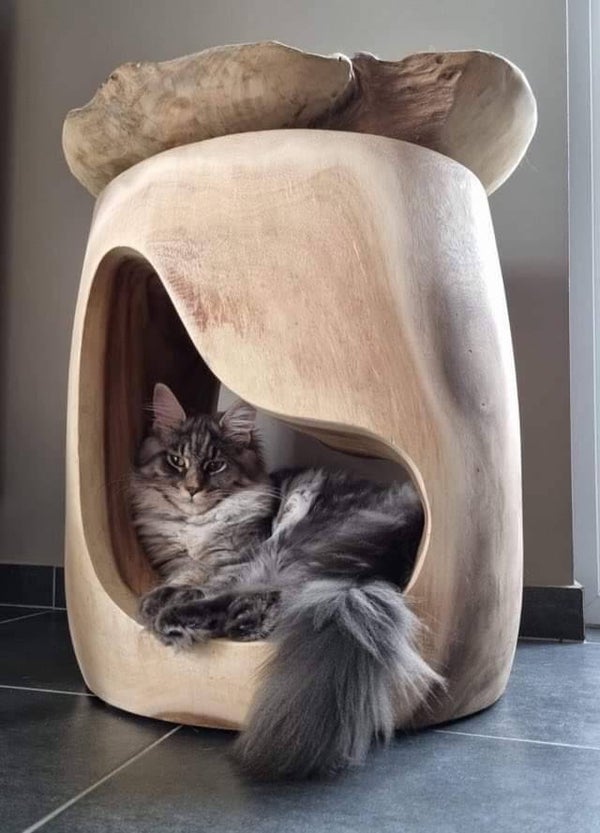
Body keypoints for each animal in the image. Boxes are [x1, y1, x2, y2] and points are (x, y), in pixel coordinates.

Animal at [129, 383, 443, 779]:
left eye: (215, 465)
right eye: (176, 462)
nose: (192, 490)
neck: (197, 526)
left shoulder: (240, 558)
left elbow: (206, 584)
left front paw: (160, 604)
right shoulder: (177, 561)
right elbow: (183, 577)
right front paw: (158, 596)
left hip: (289, 548)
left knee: (266, 596)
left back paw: (180, 622)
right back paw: (239, 623)